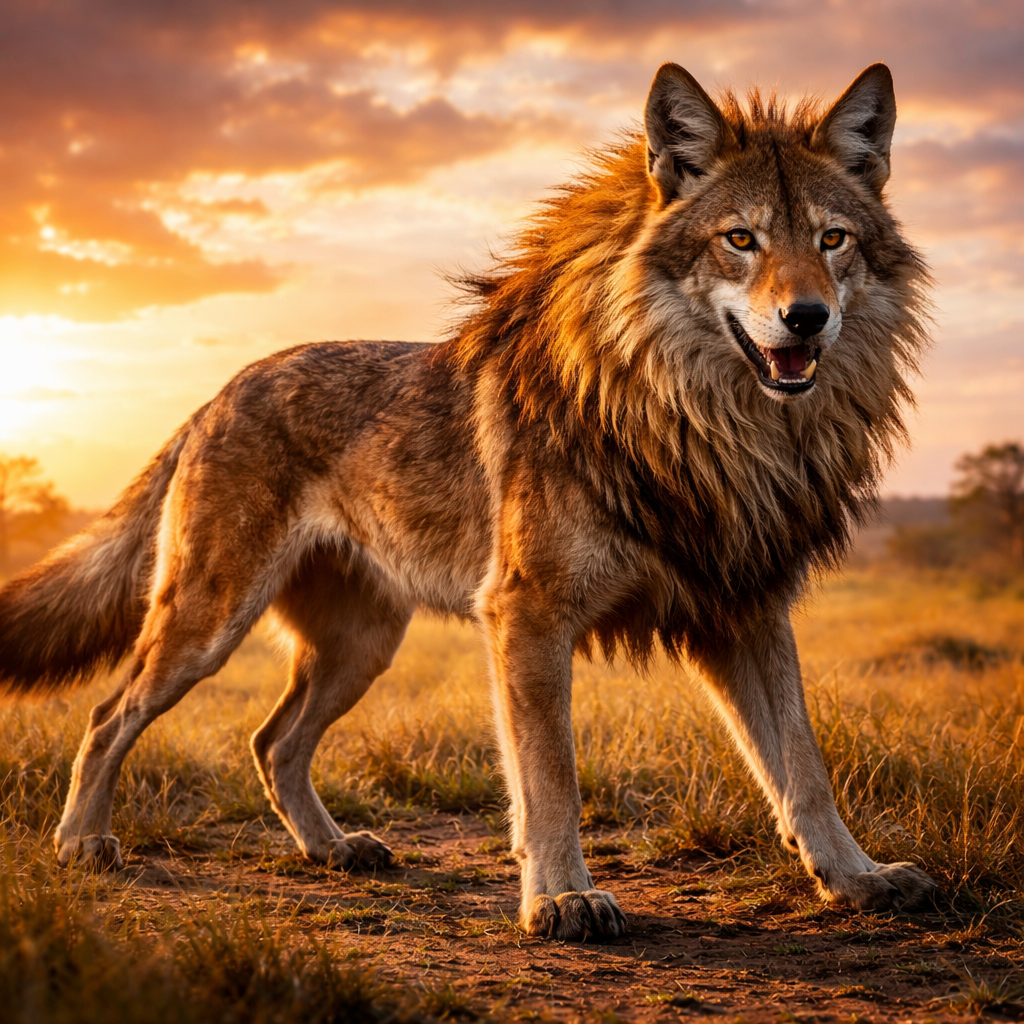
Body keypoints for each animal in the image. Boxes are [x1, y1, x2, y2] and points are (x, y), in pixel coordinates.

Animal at [0, 62, 935, 941]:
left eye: (834, 240)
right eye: (741, 239)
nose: (806, 317)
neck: (712, 427)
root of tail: (219, 393)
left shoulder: (748, 607)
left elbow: (804, 769)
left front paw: (856, 879)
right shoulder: (528, 615)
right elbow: (551, 776)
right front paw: (562, 899)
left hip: (362, 647)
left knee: (271, 741)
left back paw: (334, 850)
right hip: (208, 626)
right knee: (111, 713)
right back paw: (83, 843)